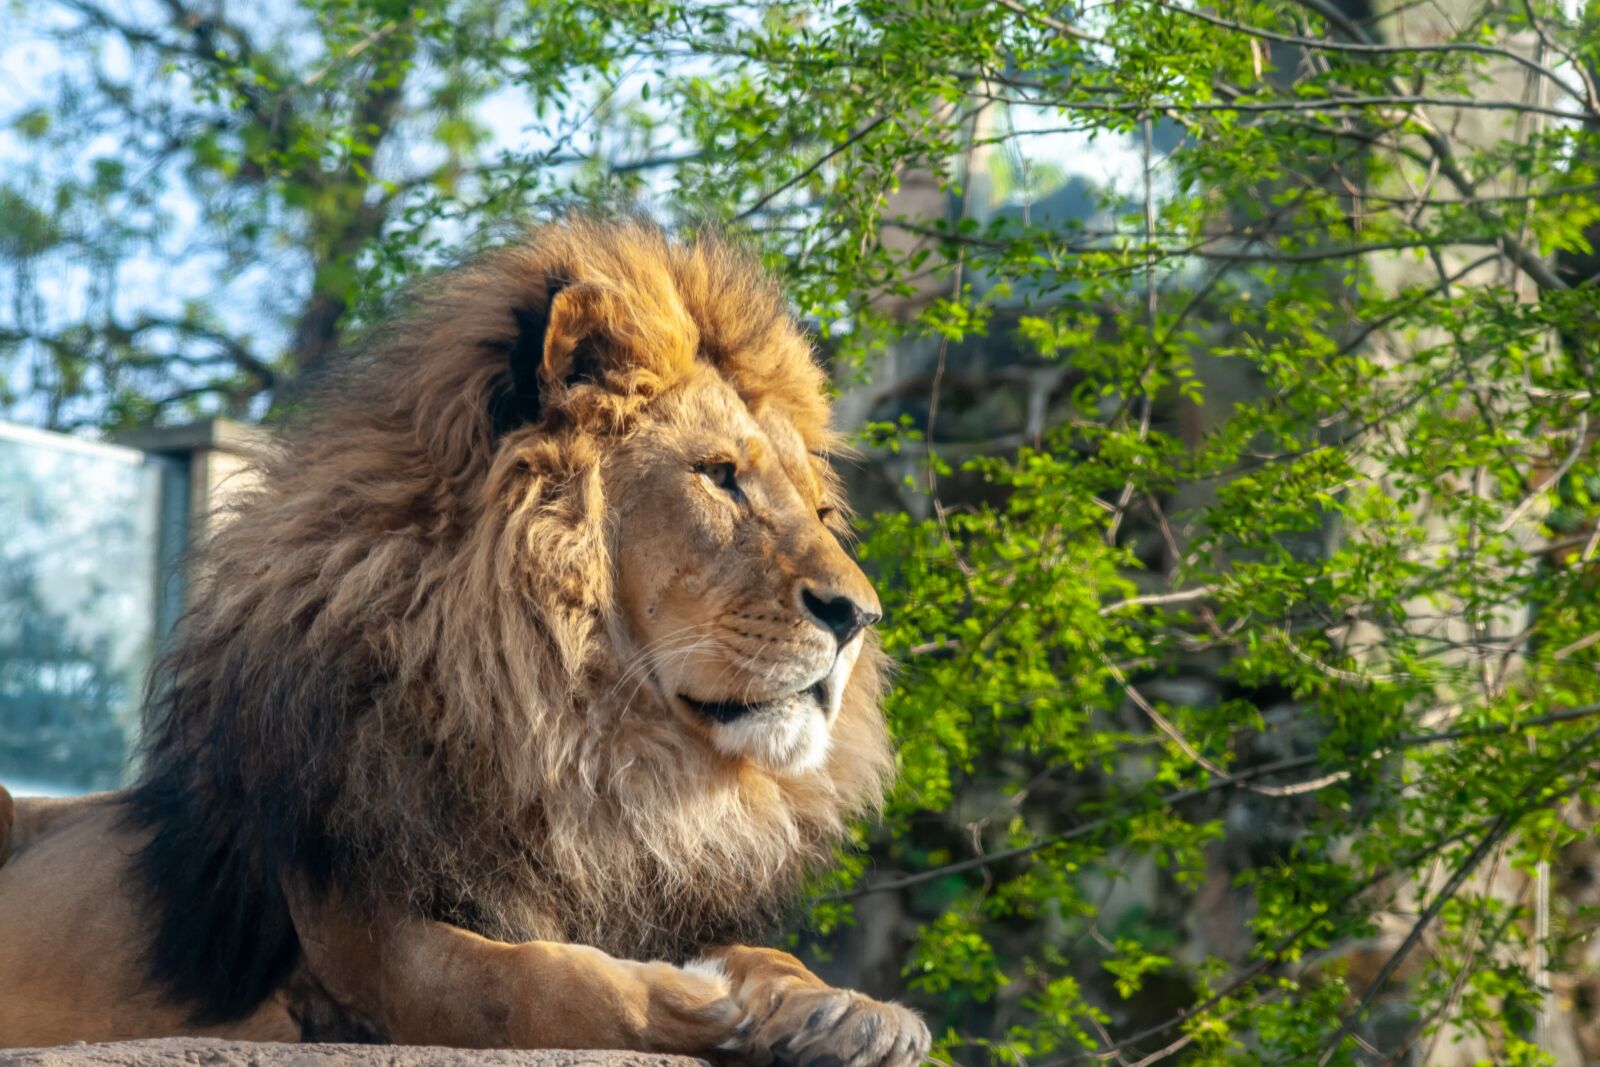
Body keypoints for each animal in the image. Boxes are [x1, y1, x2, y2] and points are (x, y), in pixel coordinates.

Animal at [0, 215, 930, 1067]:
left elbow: (758, 953)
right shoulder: (366, 947)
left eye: (821, 511)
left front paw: (848, 1010)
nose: (860, 615)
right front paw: (700, 998)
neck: (581, 742)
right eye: (720, 476)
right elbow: (537, 981)